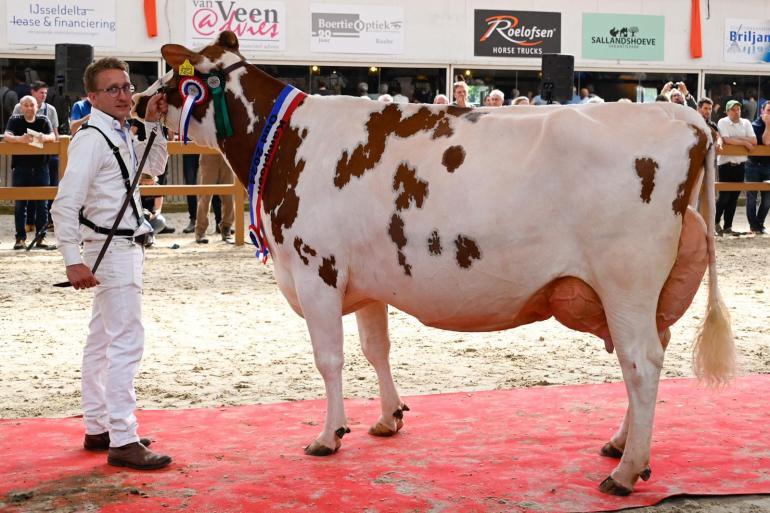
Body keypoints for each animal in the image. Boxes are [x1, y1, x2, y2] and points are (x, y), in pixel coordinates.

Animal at [135, 31, 736, 492]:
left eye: (174, 75)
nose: (140, 102)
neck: (288, 142)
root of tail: (683, 117)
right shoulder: (366, 281)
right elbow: (375, 348)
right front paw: (388, 419)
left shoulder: (315, 269)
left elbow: (329, 359)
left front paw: (329, 436)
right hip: (643, 290)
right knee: (648, 358)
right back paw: (620, 444)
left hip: (625, 280)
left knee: (642, 363)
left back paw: (627, 471)